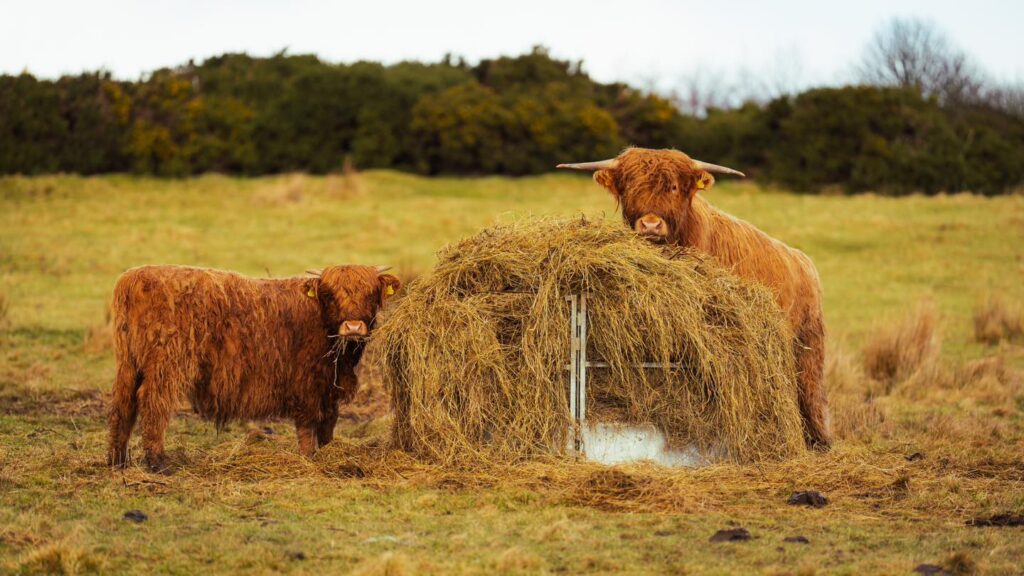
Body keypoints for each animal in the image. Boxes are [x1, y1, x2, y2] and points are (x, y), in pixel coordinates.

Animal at [107, 264, 401, 472]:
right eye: (329, 294)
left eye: (370, 292)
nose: (353, 327)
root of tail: (134, 277)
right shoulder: (307, 382)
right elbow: (308, 424)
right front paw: (309, 457)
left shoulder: (329, 387)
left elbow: (329, 421)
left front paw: (329, 451)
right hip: (166, 364)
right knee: (152, 403)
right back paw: (158, 463)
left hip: (129, 364)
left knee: (124, 405)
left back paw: (117, 461)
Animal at [558, 147, 831, 448]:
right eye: (630, 186)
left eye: (674, 187)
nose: (650, 225)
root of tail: (803, 261)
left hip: (807, 349)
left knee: (809, 395)